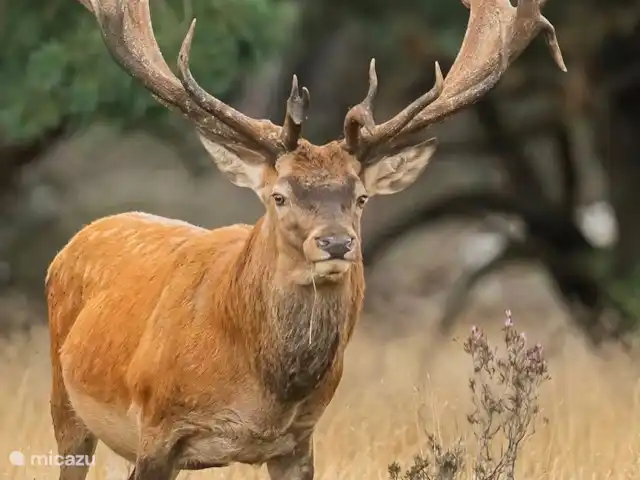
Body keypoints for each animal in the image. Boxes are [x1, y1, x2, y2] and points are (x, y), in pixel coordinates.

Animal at [46, 0, 566, 479]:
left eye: (360, 197)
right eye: (279, 195)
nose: (336, 244)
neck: (261, 393)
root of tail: (74, 242)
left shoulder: (299, 440)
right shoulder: (156, 429)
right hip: (64, 402)